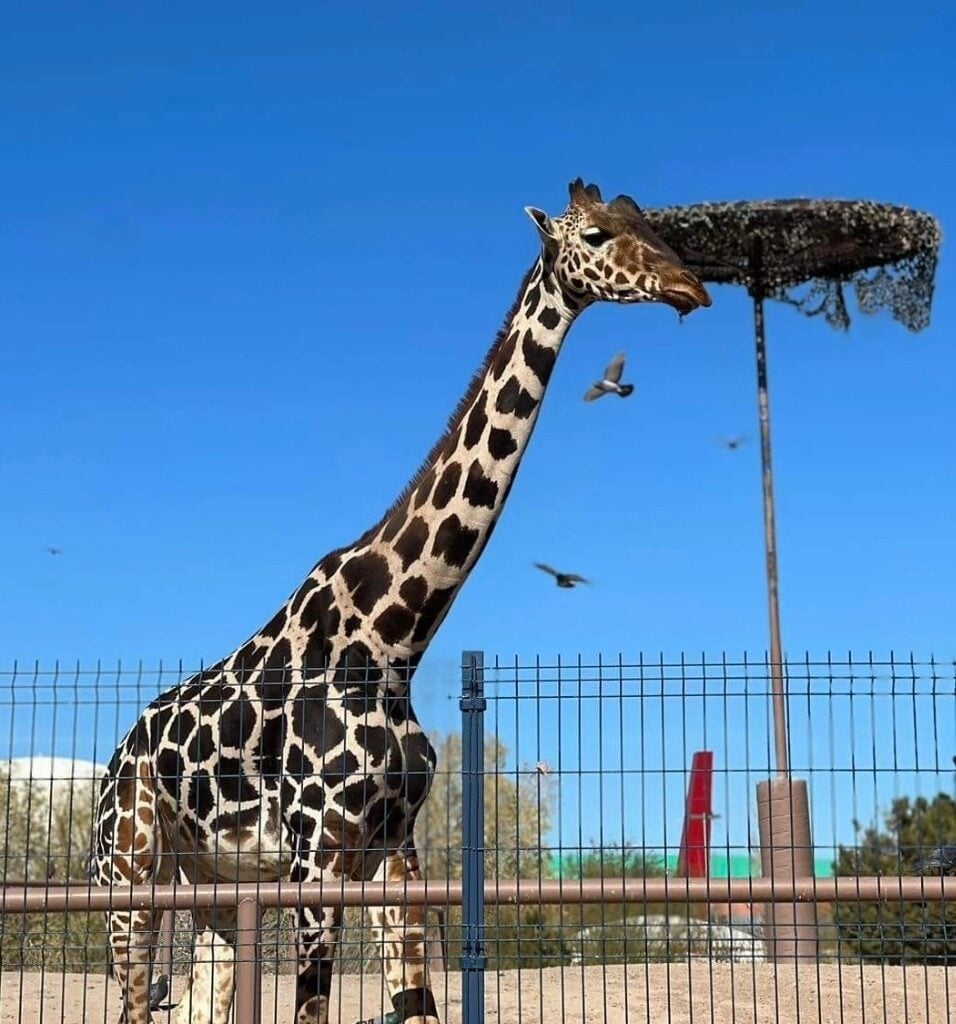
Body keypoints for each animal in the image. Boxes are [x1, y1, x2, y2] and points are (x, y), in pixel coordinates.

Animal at [89, 178, 710, 1024]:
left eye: (646, 218)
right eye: (595, 233)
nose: (692, 286)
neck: (392, 636)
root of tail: (117, 753)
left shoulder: (394, 859)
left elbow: (417, 1002)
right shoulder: (315, 862)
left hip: (212, 883)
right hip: (127, 874)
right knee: (129, 999)